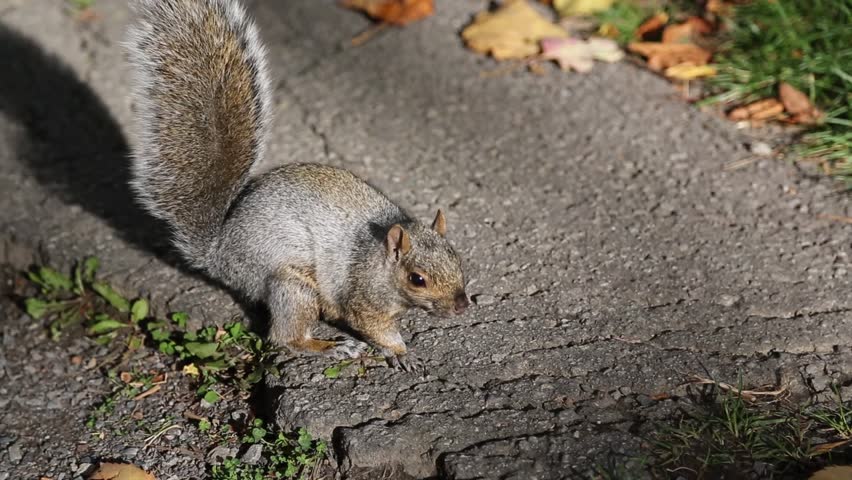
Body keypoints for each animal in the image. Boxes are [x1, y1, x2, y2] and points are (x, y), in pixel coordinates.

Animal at [125, 0, 469, 369]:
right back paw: (329, 346)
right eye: (417, 279)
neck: (380, 262)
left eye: (457, 258)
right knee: (285, 337)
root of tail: (219, 255)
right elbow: (374, 326)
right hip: (293, 285)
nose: (463, 306)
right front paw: (401, 352)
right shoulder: (362, 297)